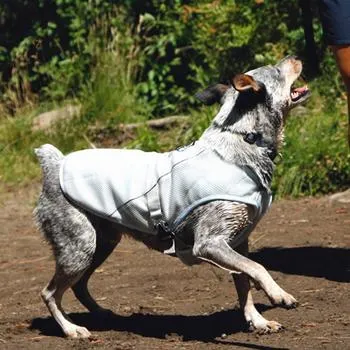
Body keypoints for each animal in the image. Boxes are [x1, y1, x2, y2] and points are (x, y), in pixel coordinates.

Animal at [34, 56, 310, 338]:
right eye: (277, 70)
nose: (295, 57)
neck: (246, 141)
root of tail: (56, 163)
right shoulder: (210, 243)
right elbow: (257, 267)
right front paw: (278, 294)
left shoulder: (239, 242)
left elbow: (244, 283)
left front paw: (258, 321)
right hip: (79, 247)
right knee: (50, 293)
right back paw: (72, 329)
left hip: (101, 244)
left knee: (78, 286)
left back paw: (103, 313)